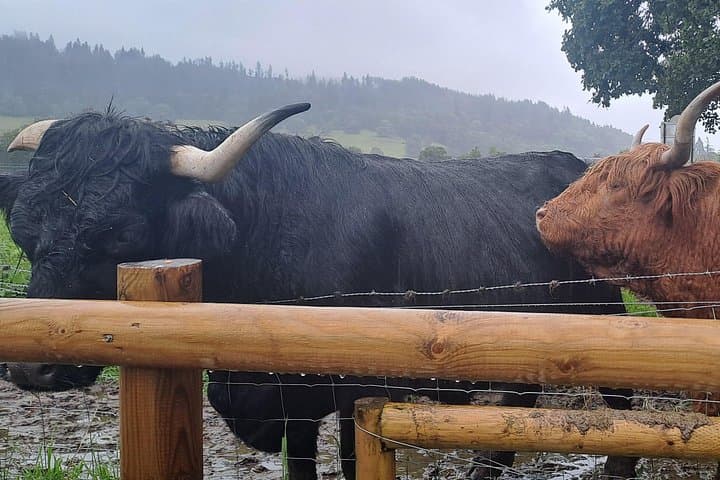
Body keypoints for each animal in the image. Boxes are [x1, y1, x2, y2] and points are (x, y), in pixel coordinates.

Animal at [0, 104, 636, 479]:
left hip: (605, 319)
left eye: (120, 236)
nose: (32, 367)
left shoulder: (348, 392)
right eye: (24, 229)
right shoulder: (280, 405)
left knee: (622, 400)